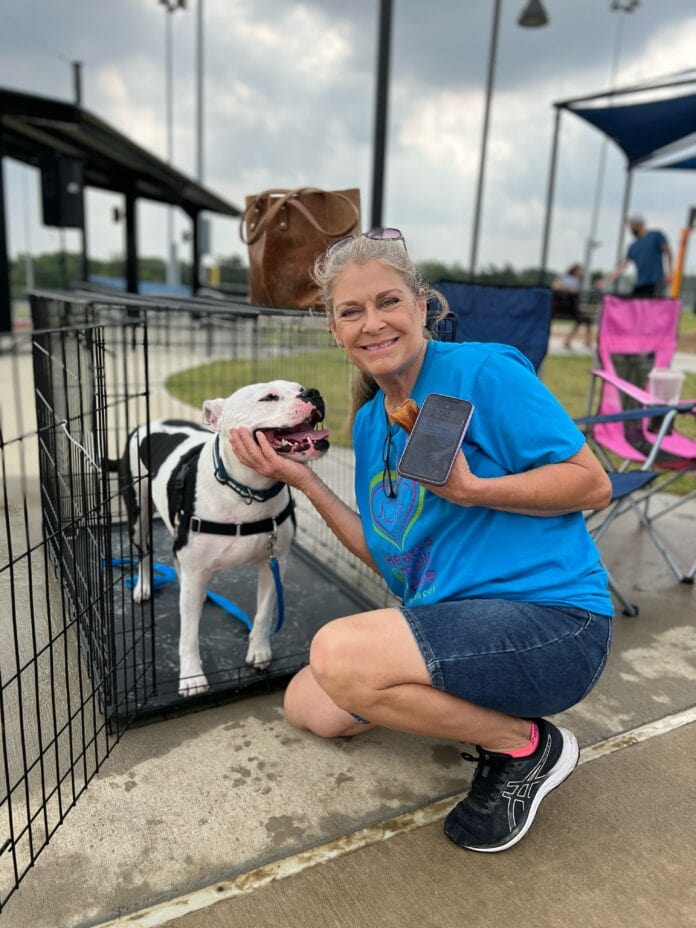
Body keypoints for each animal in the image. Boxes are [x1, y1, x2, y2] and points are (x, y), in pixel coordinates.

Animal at [116, 378, 328, 696]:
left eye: (299, 387)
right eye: (269, 397)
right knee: (144, 553)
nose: (313, 393)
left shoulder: (274, 562)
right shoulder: (195, 567)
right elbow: (188, 634)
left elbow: (263, 613)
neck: (246, 490)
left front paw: (259, 650)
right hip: (137, 515)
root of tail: (148, 423)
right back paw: (143, 586)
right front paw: (192, 676)